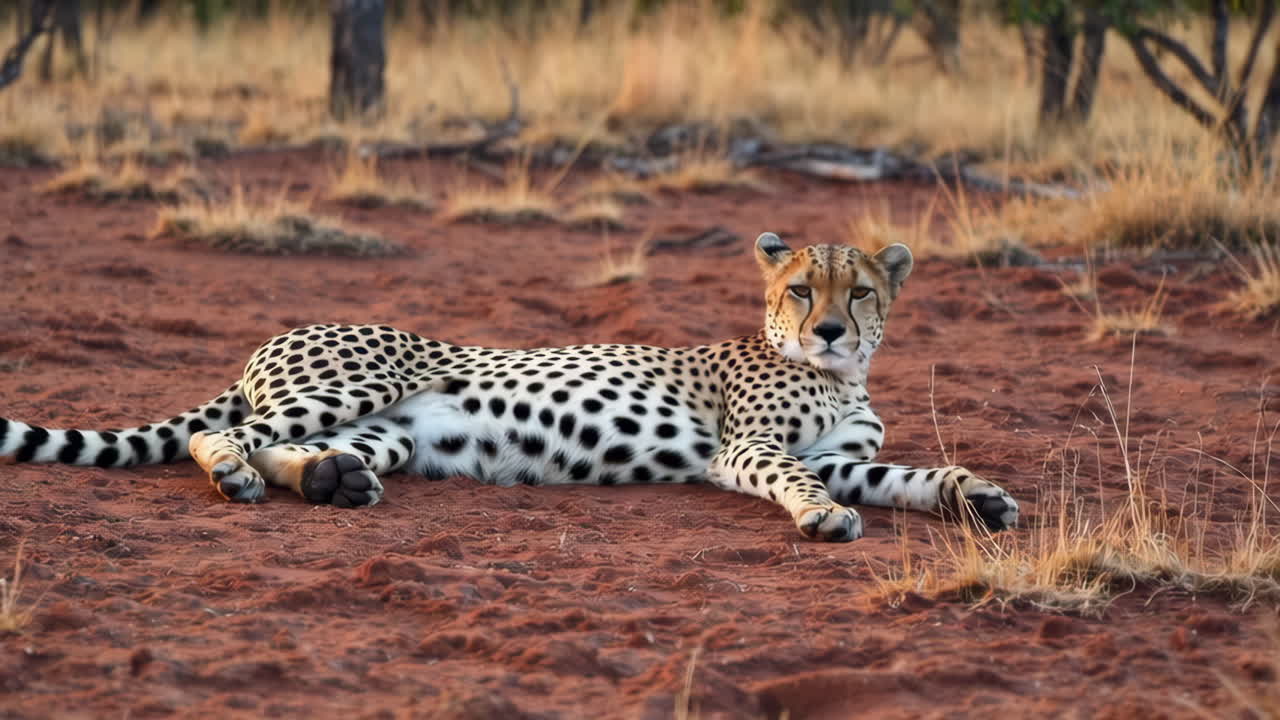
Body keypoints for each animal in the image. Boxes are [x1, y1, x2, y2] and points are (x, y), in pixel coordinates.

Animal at [0, 233, 1018, 541]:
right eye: (802, 289)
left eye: (861, 291)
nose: (832, 329)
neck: (838, 376)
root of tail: (277, 333)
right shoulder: (749, 448)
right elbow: (801, 478)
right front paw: (819, 517)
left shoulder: (851, 456)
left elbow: (907, 474)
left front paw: (979, 497)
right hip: (349, 387)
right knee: (226, 438)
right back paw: (237, 477)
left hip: (391, 430)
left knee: (302, 449)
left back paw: (332, 481)